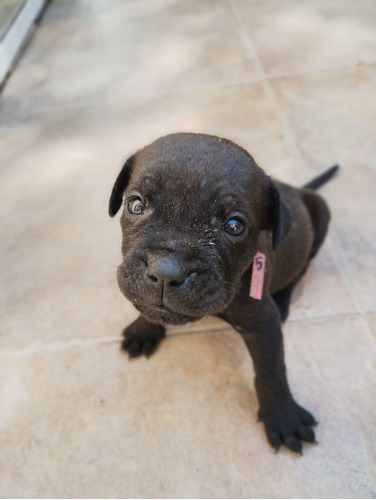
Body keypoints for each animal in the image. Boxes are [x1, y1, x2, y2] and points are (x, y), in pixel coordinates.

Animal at [108, 133, 338, 454]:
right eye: (136, 205)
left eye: (234, 226)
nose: (165, 271)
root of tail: (299, 190)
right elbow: (146, 305)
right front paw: (144, 330)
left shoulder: (262, 323)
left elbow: (272, 370)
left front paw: (283, 416)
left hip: (321, 216)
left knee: (303, 267)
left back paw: (283, 298)